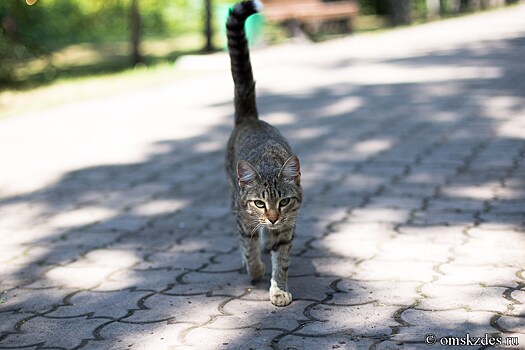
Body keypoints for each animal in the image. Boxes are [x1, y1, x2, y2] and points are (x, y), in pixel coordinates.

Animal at [223, 0, 300, 306]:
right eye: (258, 203)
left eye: (284, 202)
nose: (272, 217)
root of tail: (250, 119)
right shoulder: (243, 219)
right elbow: (249, 247)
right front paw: (253, 268)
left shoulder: (288, 229)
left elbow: (283, 262)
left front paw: (278, 289)